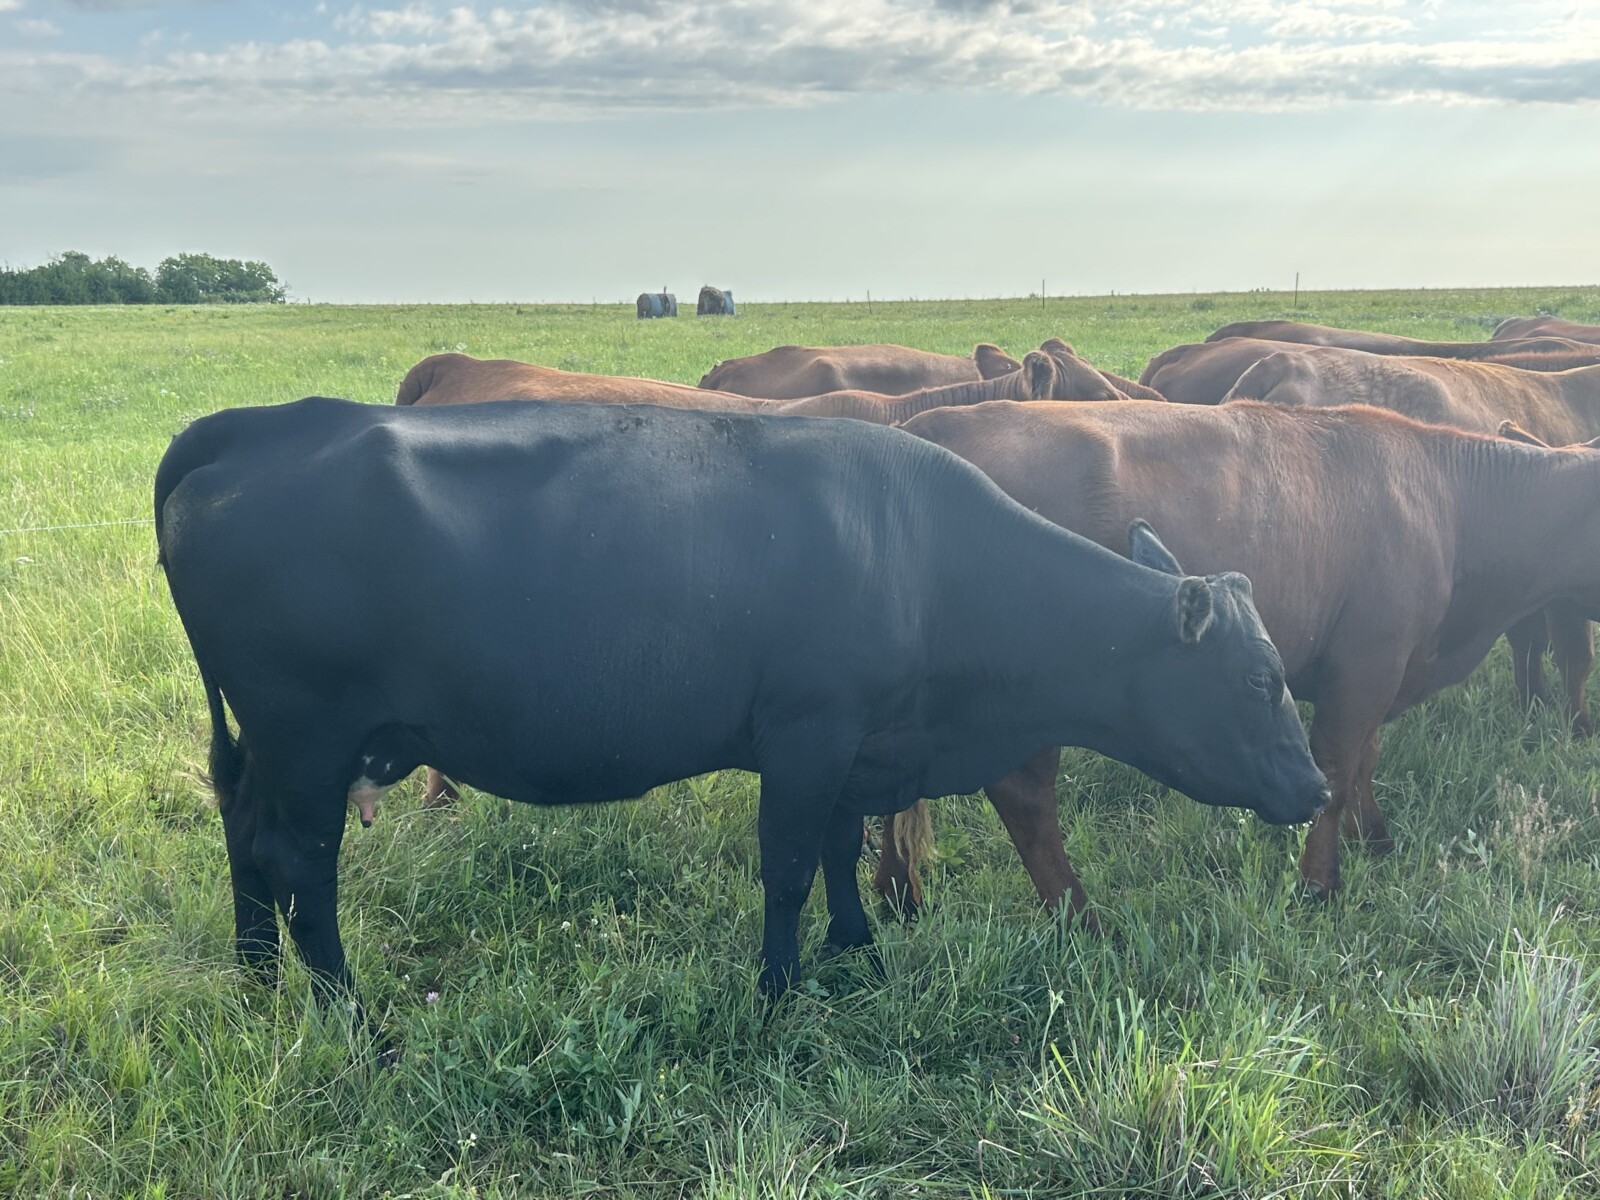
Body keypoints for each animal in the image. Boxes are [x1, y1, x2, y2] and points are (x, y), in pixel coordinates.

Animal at [154, 397, 1327, 1017]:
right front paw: (776, 990)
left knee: (244, 837)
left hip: (274, 747)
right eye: (1259, 681)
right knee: (298, 862)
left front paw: (857, 951)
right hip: (310, 736)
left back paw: (257, 982)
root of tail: (263, 426)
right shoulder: (808, 735)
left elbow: (845, 852)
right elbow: (790, 865)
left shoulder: (860, 743)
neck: (926, 556)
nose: (1315, 788)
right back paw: (351, 1014)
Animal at [886, 399, 1600, 909]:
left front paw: (1374, 840)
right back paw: (1077, 916)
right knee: (1025, 796)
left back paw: (900, 897)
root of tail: (923, 429)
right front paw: (1321, 883)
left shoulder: (1379, 668)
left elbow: (1364, 761)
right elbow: (1337, 768)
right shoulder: (1365, 666)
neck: (1446, 501)